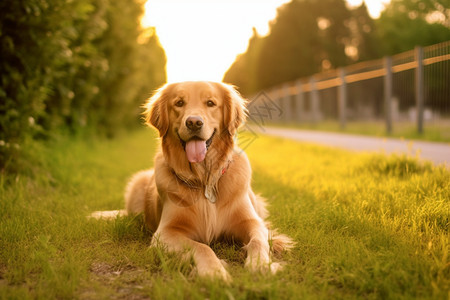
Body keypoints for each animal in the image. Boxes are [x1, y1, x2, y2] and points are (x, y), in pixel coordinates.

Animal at [93, 81, 294, 280]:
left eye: (210, 103)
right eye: (179, 103)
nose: (194, 123)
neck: (204, 179)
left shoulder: (251, 222)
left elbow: (258, 241)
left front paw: (261, 264)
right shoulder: (165, 232)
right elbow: (201, 246)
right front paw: (214, 271)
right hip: (137, 185)